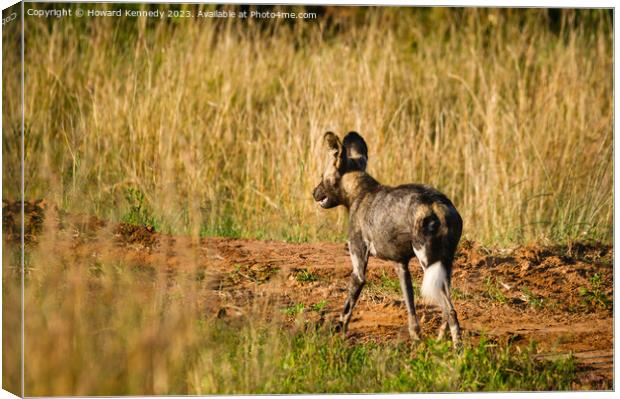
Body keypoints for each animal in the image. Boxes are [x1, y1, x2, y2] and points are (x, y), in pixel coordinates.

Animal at [312, 133, 462, 346]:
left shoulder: (358, 266)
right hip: (443, 268)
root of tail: (436, 204)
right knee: (447, 308)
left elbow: (347, 308)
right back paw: (440, 341)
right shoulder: (401, 266)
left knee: (450, 310)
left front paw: (339, 334)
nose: (313, 192)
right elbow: (410, 306)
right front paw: (416, 336)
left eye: (321, 176)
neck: (360, 193)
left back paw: (458, 349)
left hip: (427, 264)